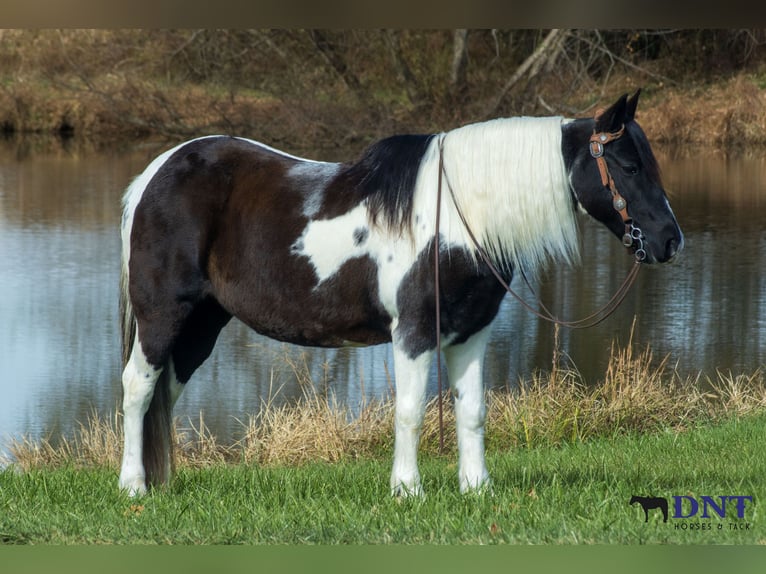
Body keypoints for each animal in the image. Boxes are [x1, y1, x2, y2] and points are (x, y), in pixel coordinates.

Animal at [118, 90, 684, 497]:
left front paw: (477, 489)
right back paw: (133, 488)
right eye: (629, 166)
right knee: (138, 388)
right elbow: (410, 411)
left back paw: (158, 485)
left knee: (164, 394)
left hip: (202, 325)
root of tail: (154, 175)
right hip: (162, 315)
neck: (459, 215)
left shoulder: (470, 333)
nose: (670, 241)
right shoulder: (413, 333)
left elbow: (472, 410)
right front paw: (407, 491)